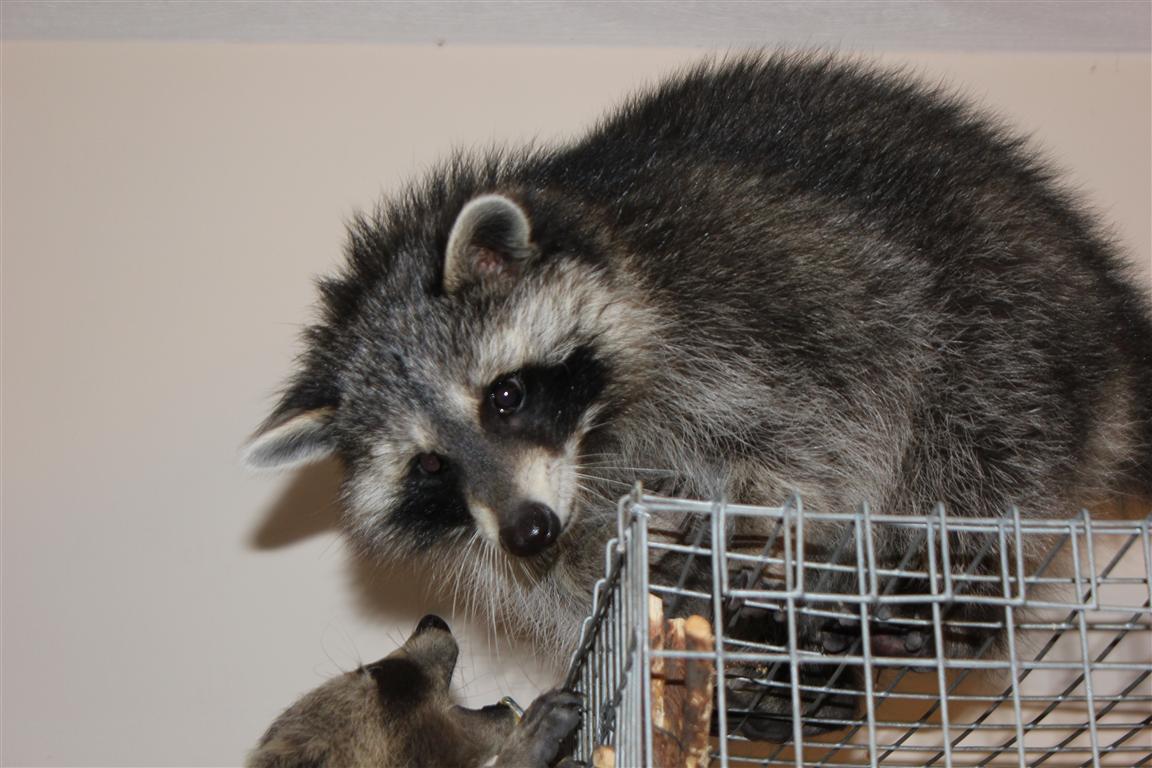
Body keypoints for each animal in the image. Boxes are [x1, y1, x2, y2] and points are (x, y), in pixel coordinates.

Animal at [246, 53, 1152, 738]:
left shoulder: (762, 303)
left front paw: (743, 527)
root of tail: (1114, 319)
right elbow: (577, 572)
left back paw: (937, 604)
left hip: (1011, 321)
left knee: (969, 455)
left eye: (503, 396)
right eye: (430, 468)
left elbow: (820, 441)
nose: (530, 529)